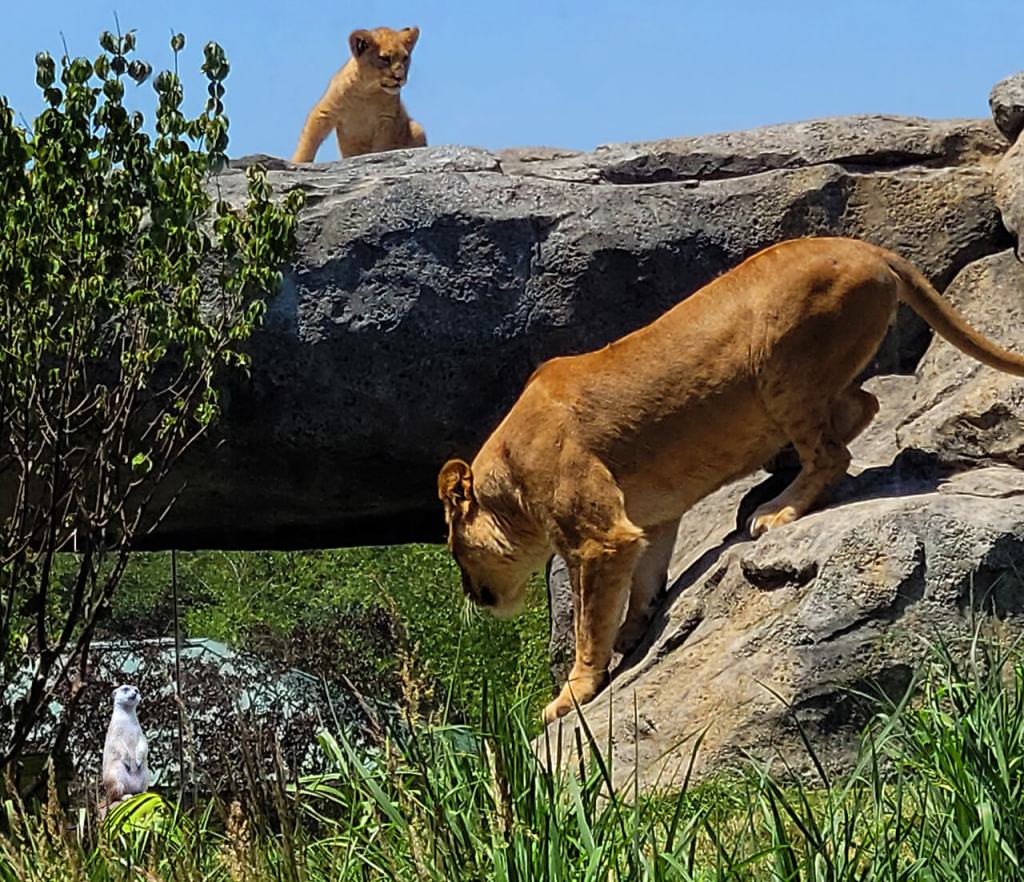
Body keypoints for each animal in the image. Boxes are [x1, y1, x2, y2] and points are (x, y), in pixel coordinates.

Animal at [291, 26, 426, 163]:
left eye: (405, 58)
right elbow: (308, 142)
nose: (399, 78)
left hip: (417, 128)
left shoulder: (386, 121)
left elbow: (381, 148)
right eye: (385, 58)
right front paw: (297, 162)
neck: (366, 92)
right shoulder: (325, 112)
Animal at [438, 236, 1024, 724]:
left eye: (455, 551)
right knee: (864, 405)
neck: (507, 479)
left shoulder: (598, 538)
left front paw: (571, 696)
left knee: (833, 452)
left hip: (783, 367)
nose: (470, 595)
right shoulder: (649, 519)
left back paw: (775, 509)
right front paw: (634, 630)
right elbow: (645, 581)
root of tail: (866, 247)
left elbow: (587, 624)